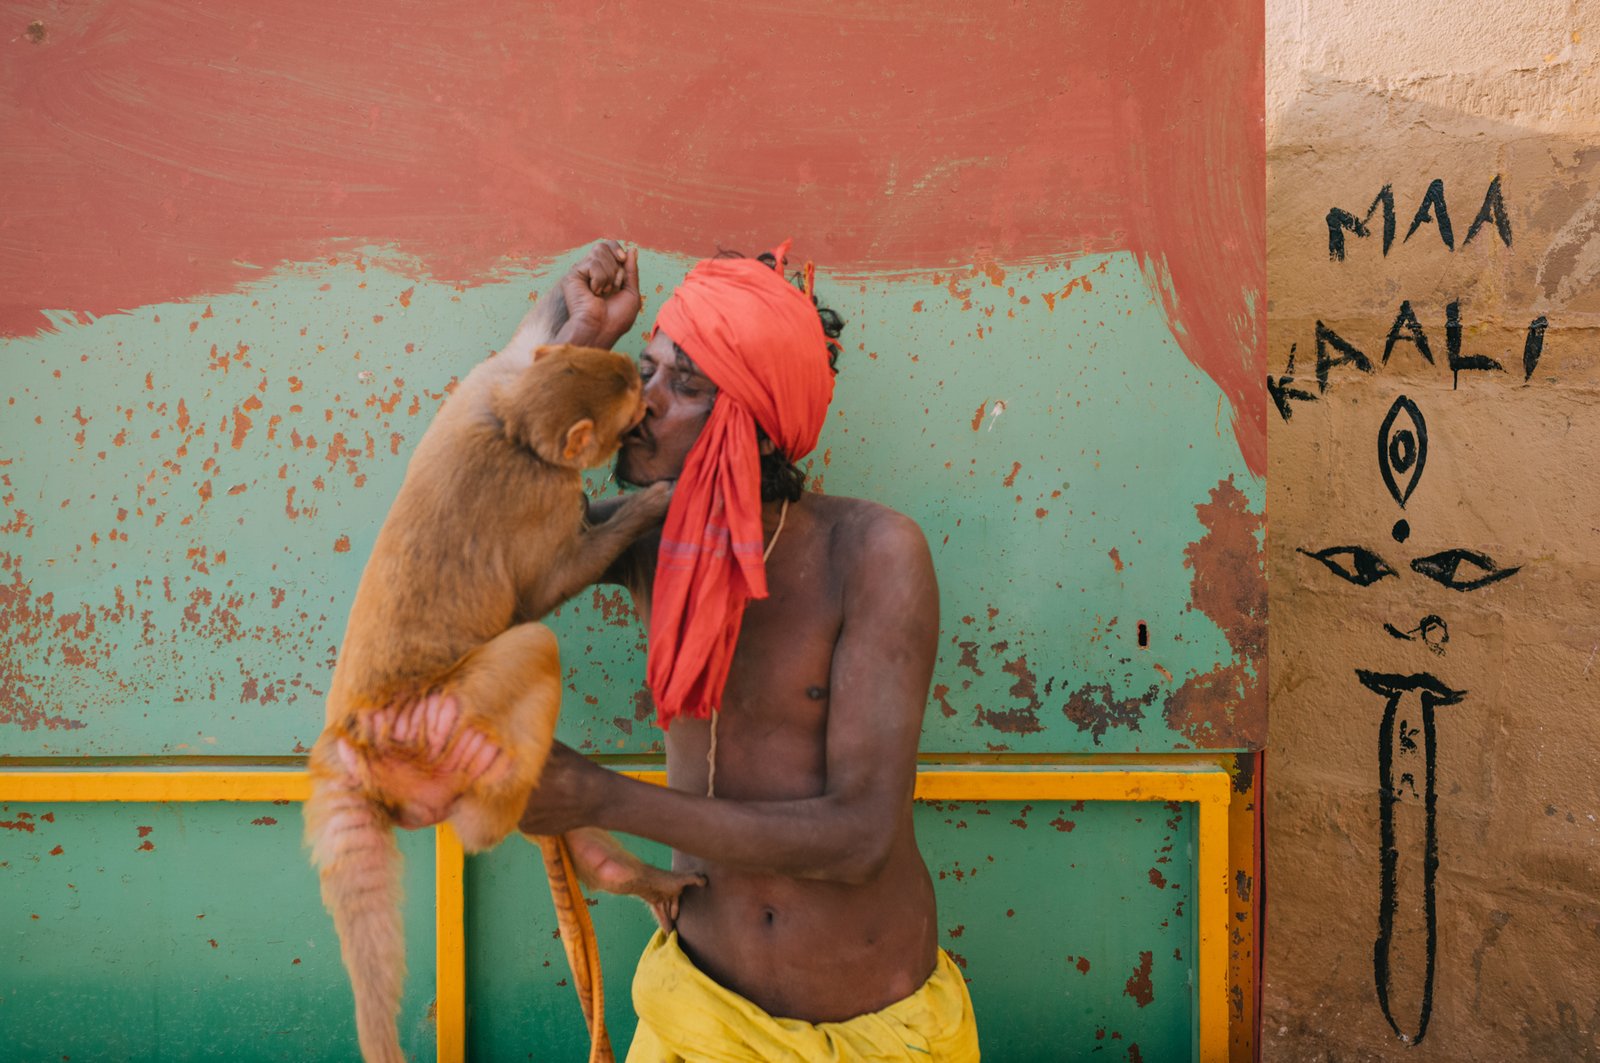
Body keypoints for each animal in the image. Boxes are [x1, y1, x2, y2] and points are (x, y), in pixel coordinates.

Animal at [302, 286, 702, 1063]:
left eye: (636, 376)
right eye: (635, 396)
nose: (648, 402)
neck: (515, 430)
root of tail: (350, 738)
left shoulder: (482, 391)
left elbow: (515, 349)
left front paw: (590, 296)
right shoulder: (542, 491)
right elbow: (544, 587)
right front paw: (654, 502)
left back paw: (621, 872)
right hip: (436, 723)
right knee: (533, 644)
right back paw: (489, 819)